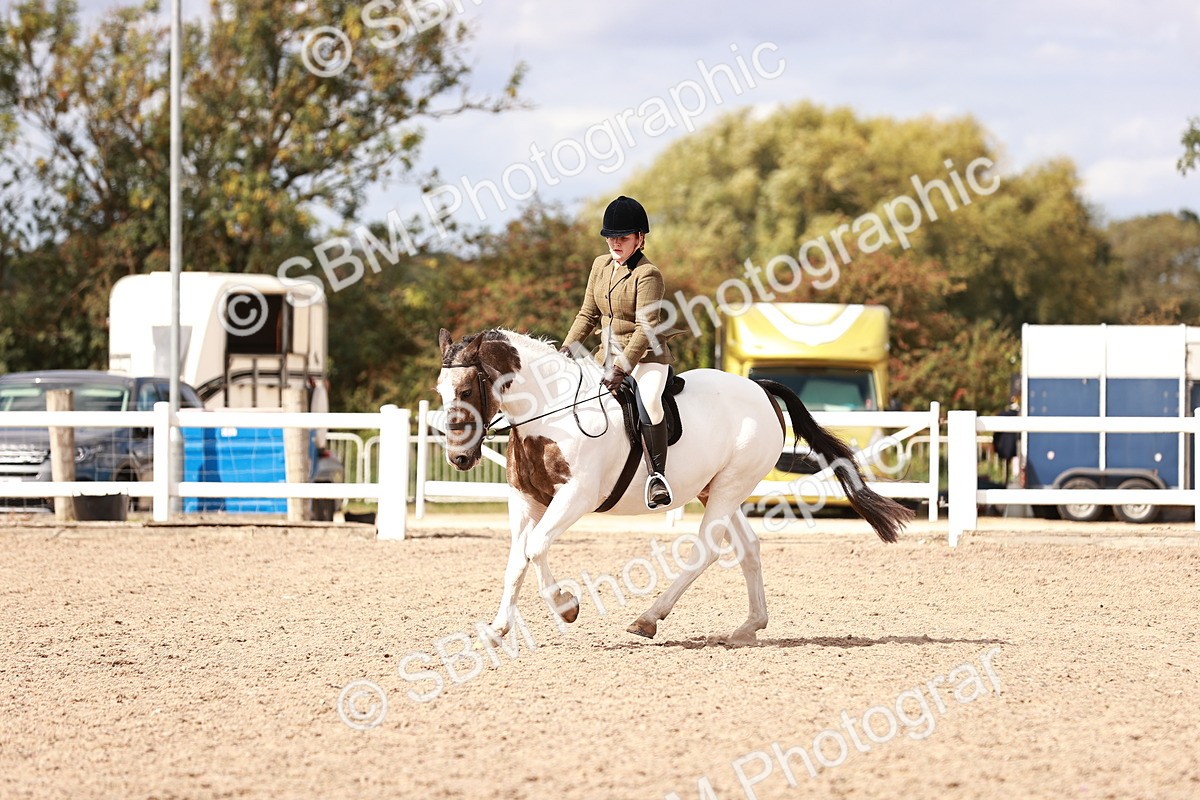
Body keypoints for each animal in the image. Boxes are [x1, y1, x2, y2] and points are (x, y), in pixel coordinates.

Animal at [435, 327, 913, 644]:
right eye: (440, 391)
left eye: (466, 388)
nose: (459, 459)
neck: (550, 414)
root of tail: (760, 389)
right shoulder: (525, 500)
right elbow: (517, 559)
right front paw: (497, 629)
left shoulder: (576, 497)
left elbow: (535, 548)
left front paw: (566, 607)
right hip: (718, 489)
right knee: (748, 548)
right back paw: (748, 628)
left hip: (730, 486)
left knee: (706, 549)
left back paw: (648, 618)